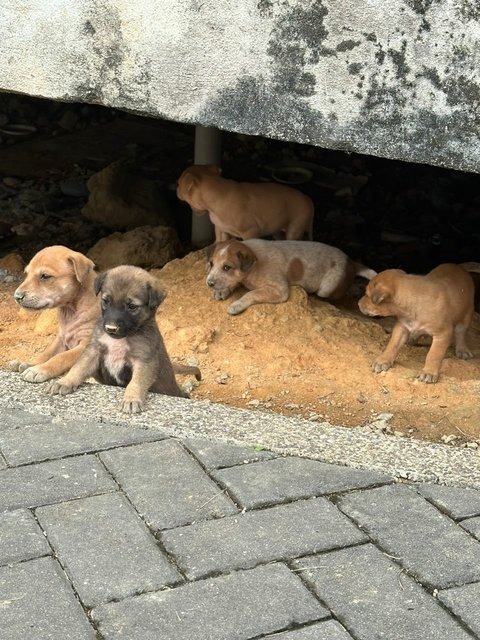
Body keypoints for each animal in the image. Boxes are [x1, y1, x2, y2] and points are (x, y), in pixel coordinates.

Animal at [10, 246, 98, 382]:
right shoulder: (60, 339)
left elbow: (61, 357)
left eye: (45, 276)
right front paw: (29, 363)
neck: (70, 311)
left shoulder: (85, 345)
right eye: (27, 274)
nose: (17, 297)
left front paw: (39, 370)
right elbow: (46, 353)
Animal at [47, 266, 201, 412]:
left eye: (132, 306)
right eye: (106, 301)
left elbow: (136, 382)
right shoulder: (94, 350)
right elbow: (79, 367)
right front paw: (65, 381)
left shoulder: (144, 360)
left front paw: (131, 399)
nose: (110, 328)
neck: (120, 339)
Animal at [176, 164, 316, 244]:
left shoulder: (250, 231)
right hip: (277, 229)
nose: (176, 189)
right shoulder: (221, 230)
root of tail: (308, 198)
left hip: (295, 228)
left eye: (178, 183)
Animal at [204, 238, 376, 316]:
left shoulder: (279, 290)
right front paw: (221, 291)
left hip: (327, 288)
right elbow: (233, 283)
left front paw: (237, 304)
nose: (209, 283)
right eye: (211, 263)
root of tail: (351, 262)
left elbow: (252, 293)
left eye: (227, 267)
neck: (254, 264)